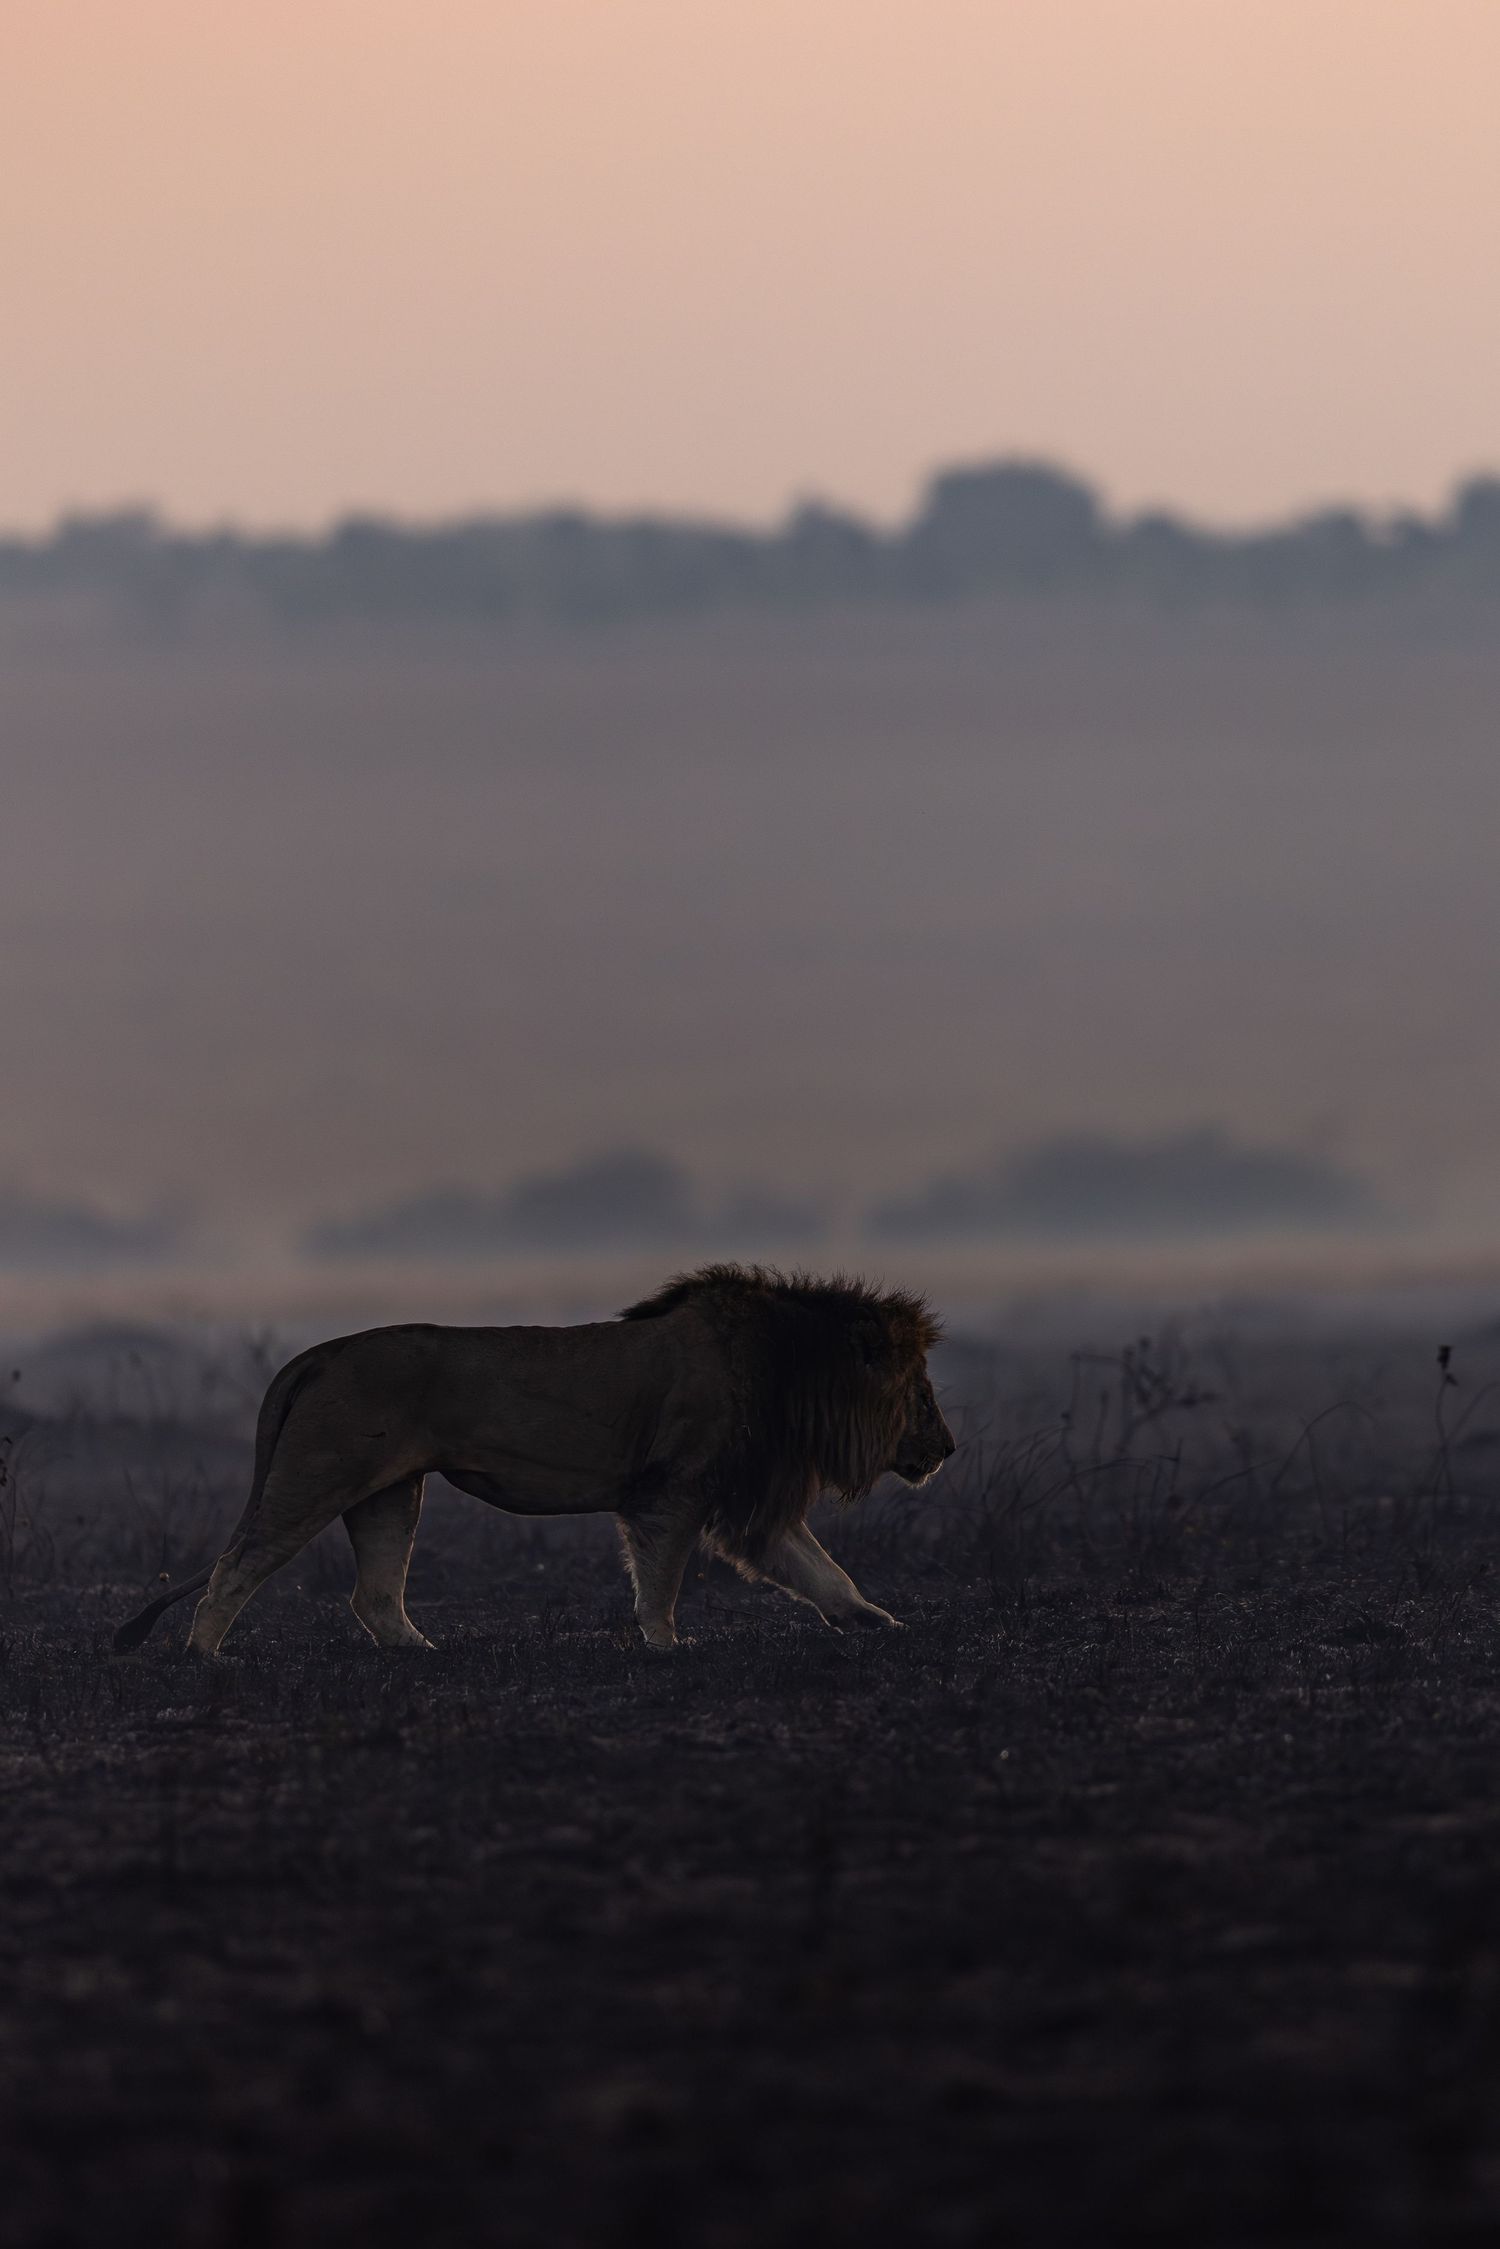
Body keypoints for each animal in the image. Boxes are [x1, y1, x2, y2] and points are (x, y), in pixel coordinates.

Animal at [114, 1263, 954, 1657]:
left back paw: (424, 1650)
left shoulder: (747, 1504)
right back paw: (204, 1655)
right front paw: (665, 1644)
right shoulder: (672, 1490)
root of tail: (321, 1351)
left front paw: (882, 1621)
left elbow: (825, 1573)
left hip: (391, 1493)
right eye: (920, 1391)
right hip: (318, 1475)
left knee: (374, 1595)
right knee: (238, 1563)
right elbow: (662, 1580)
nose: (947, 1448)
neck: (792, 1373)